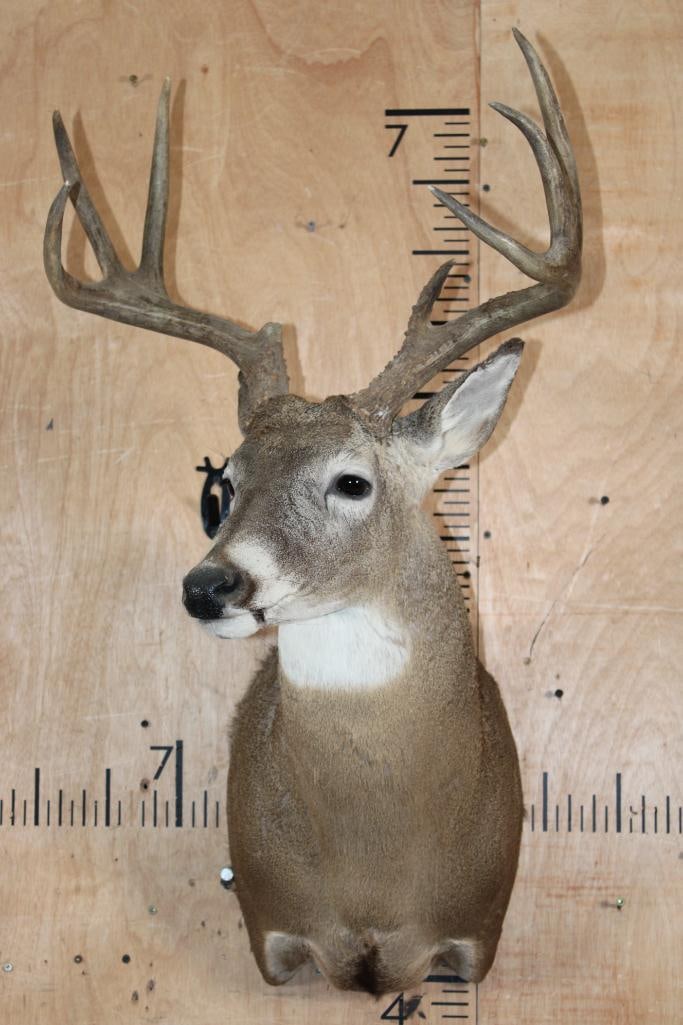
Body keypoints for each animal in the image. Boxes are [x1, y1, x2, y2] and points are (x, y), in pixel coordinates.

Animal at [44, 29, 581, 997]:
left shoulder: (473, 933)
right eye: (222, 484)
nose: (208, 586)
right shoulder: (273, 929)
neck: (374, 861)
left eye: (351, 482)